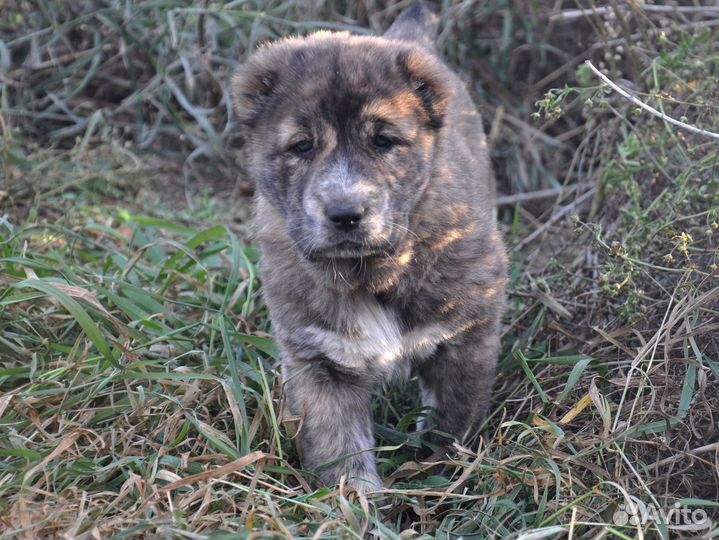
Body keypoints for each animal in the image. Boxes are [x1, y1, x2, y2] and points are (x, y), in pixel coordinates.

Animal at [233, 3, 510, 494]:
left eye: (383, 140)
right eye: (301, 146)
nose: (345, 213)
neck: (374, 271)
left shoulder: (466, 335)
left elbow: (452, 423)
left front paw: (439, 480)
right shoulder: (317, 359)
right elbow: (341, 452)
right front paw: (355, 505)